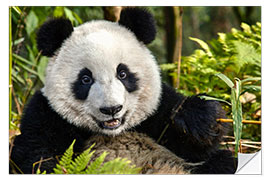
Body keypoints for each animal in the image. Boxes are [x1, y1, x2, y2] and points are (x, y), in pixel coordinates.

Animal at [10, 7, 236, 174]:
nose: (111, 109)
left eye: (123, 74)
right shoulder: (47, 115)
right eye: (85, 79)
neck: (113, 132)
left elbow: (194, 147)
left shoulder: (157, 110)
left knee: (222, 162)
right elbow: (38, 157)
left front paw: (198, 118)